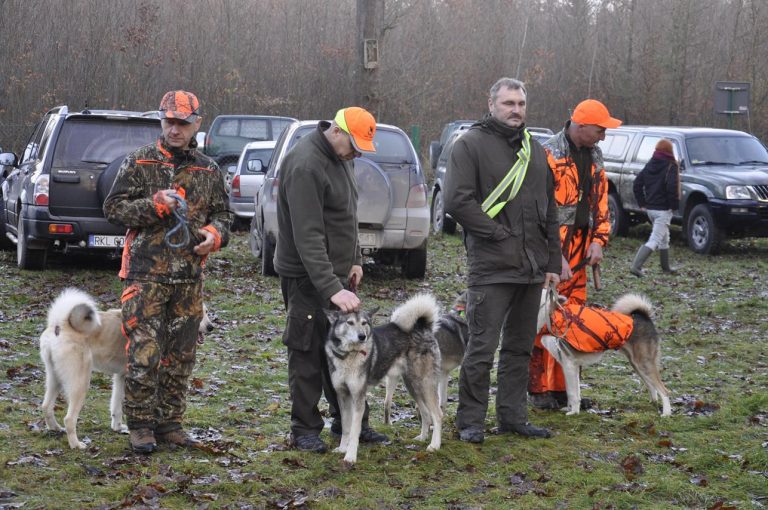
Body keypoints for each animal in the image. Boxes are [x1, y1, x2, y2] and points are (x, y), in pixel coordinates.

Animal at [326, 292, 444, 464]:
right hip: (413, 385)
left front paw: (350, 456)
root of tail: (423, 327)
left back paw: (434, 445)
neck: (349, 355)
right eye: (349, 322)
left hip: (425, 384)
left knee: (437, 415)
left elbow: (354, 430)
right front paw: (342, 449)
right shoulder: (343, 396)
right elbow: (346, 428)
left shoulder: (358, 398)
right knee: (426, 413)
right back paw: (422, 437)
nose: (362, 336)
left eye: (364, 323)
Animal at [536, 288, 668, 416]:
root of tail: (644, 316)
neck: (552, 316)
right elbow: (574, 391)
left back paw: (666, 413)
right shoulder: (569, 365)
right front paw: (573, 409)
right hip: (637, 364)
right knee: (652, 385)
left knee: (664, 390)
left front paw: (573, 412)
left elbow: (572, 393)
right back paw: (653, 402)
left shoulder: (569, 364)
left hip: (643, 363)